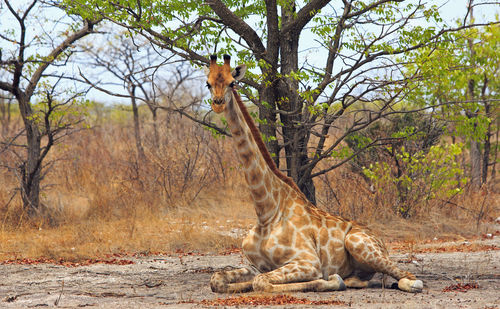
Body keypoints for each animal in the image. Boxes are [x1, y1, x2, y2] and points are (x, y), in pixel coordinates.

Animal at [203, 54, 422, 292]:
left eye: (232, 83)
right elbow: (218, 280)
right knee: (363, 278)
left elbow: (262, 283)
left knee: (410, 278)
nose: (218, 103)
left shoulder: (308, 261)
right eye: (208, 83)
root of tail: (380, 240)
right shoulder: (255, 265)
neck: (266, 212)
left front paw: (331, 281)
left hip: (358, 243)